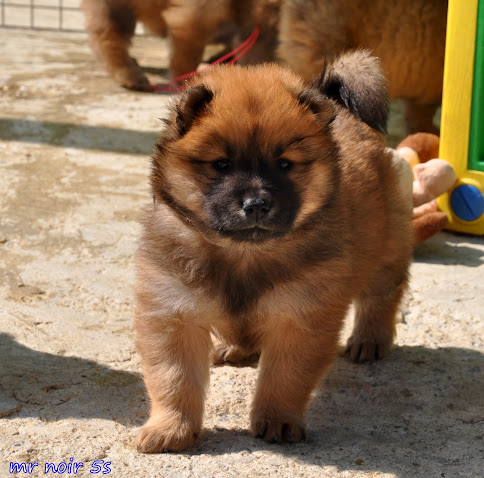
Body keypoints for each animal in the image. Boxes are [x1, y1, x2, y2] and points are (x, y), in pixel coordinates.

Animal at [133, 51, 412, 452]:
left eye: (284, 164)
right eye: (222, 164)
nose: (256, 204)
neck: (242, 256)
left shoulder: (301, 318)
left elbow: (285, 377)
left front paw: (277, 420)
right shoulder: (173, 313)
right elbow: (174, 378)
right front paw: (170, 428)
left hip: (385, 250)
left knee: (380, 297)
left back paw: (369, 340)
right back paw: (235, 348)